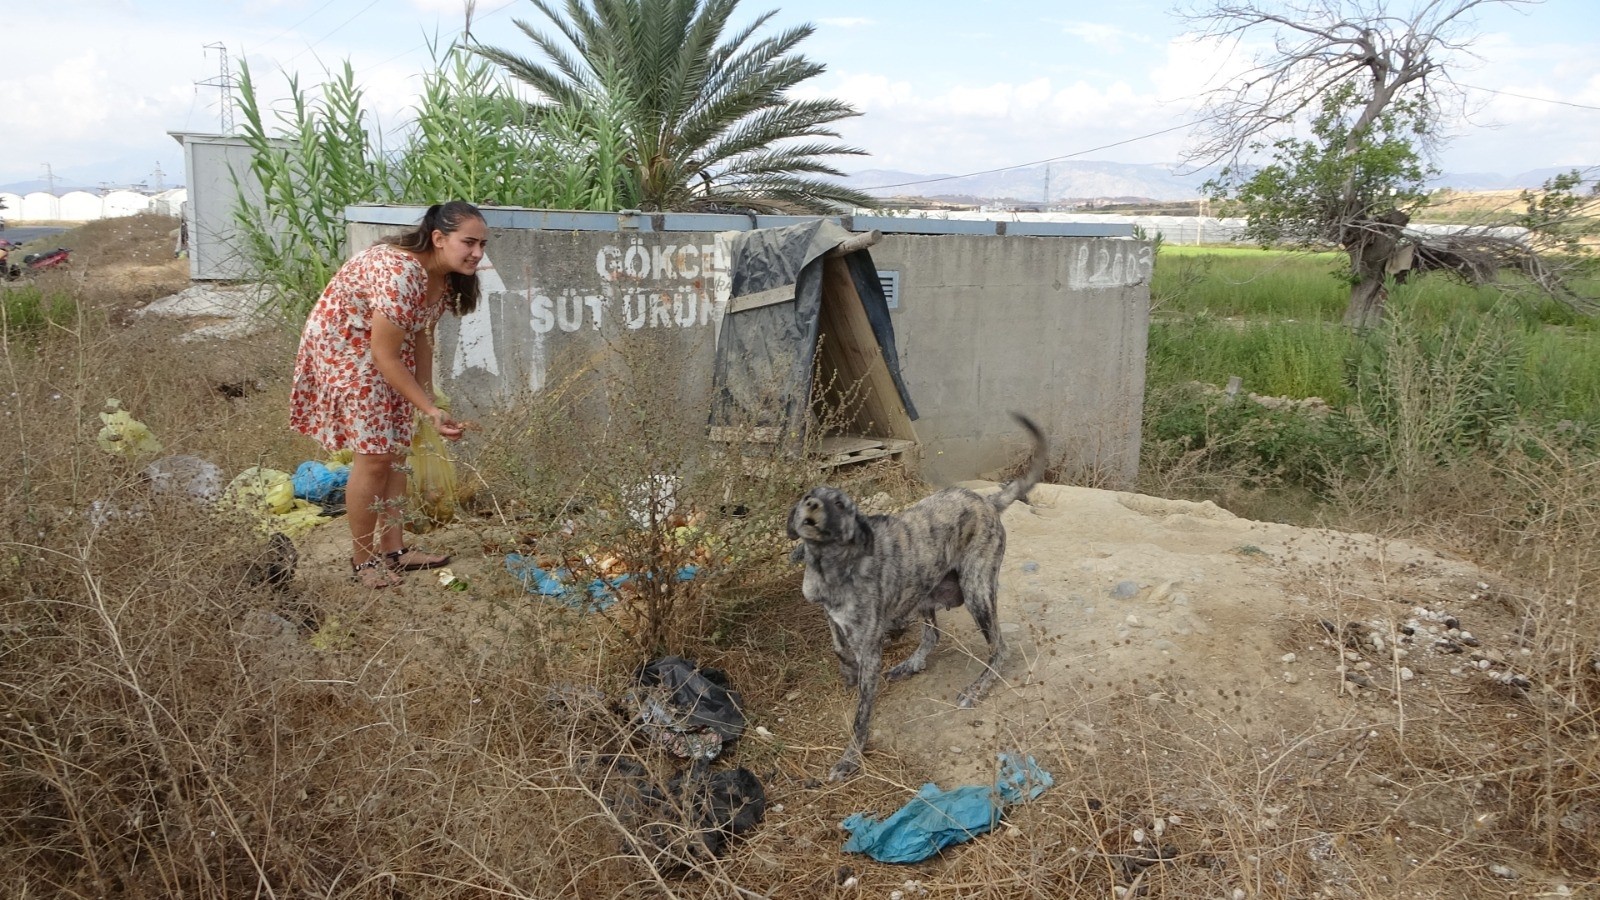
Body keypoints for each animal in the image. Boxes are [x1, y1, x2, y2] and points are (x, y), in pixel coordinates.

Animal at [787, 413, 1049, 778]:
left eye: (840, 504)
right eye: (809, 495)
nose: (811, 504)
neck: (833, 568)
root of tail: (985, 500)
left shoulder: (870, 650)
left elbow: (861, 715)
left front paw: (850, 757)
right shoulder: (833, 618)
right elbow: (840, 648)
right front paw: (848, 674)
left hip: (976, 590)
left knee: (1000, 648)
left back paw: (977, 688)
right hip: (925, 590)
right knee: (933, 635)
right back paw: (912, 663)